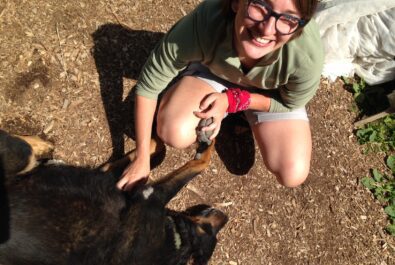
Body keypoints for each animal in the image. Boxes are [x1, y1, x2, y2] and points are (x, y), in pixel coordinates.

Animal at [0, 130, 227, 264]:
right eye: (208, 230)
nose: (225, 217)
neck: (177, 240)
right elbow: (155, 150)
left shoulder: (151, 193)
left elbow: (199, 164)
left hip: (22, 158)